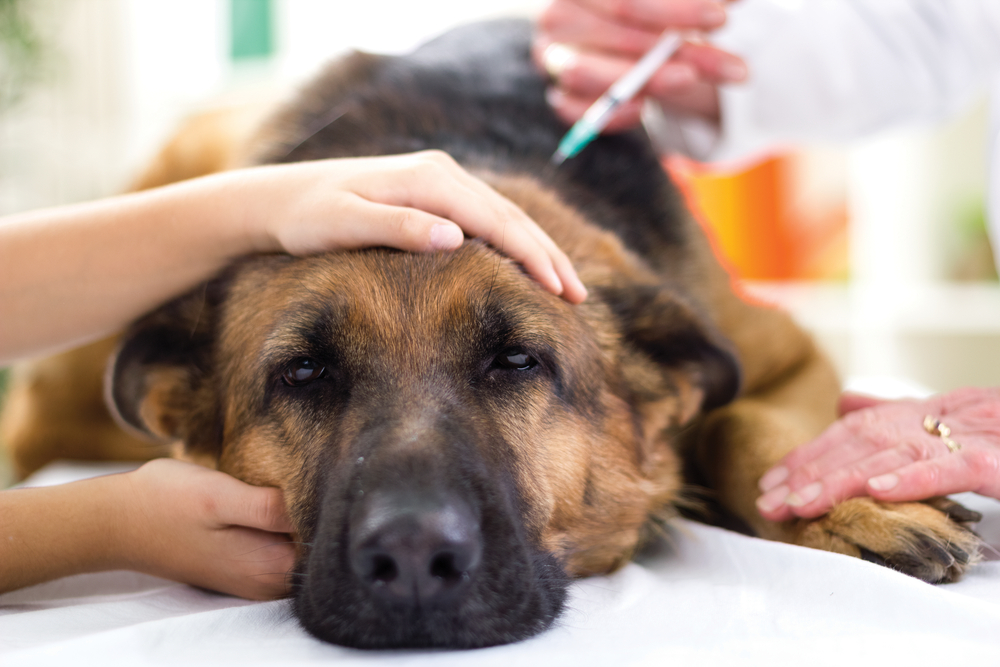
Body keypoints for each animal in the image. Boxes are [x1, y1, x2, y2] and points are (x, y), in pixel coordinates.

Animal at [0, 19, 984, 648]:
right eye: (304, 372)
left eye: (517, 360)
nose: (410, 556)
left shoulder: (784, 355)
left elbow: (747, 422)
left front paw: (846, 505)